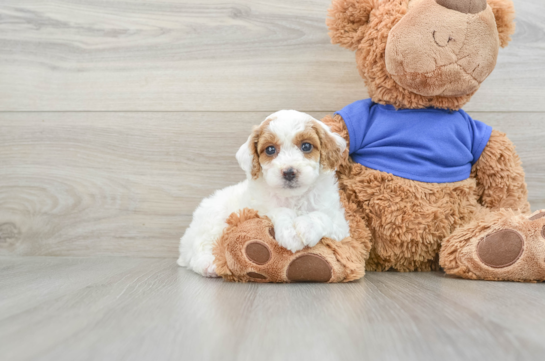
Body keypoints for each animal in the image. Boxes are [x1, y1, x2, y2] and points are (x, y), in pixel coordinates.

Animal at [178, 109, 348, 276]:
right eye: (270, 149)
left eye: (306, 146)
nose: (289, 172)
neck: (293, 197)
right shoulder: (257, 210)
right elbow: (279, 211)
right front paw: (289, 234)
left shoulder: (340, 224)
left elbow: (321, 216)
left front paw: (307, 227)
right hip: (213, 219)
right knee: (199, 247)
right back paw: (210, 264)